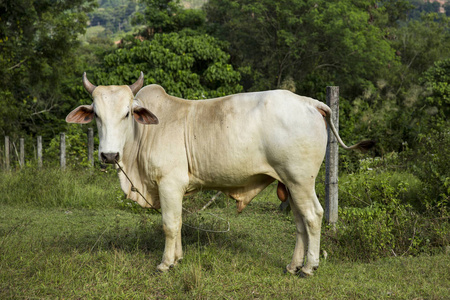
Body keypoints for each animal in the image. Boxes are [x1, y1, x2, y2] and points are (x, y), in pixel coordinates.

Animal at [64, 72, 372, 276]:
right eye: (96, 115)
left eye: (127, 113)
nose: (109, 155)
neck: (144, 134)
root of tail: (310, 102)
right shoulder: (174, 188)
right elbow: (178, 223)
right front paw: (178, 258)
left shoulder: (169, 184)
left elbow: (169, 224)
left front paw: (165, 264)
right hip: (290, 184)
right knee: (299, 222)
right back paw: (294, 264)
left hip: (301, 180)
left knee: (313, 216)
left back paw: (309, 267)